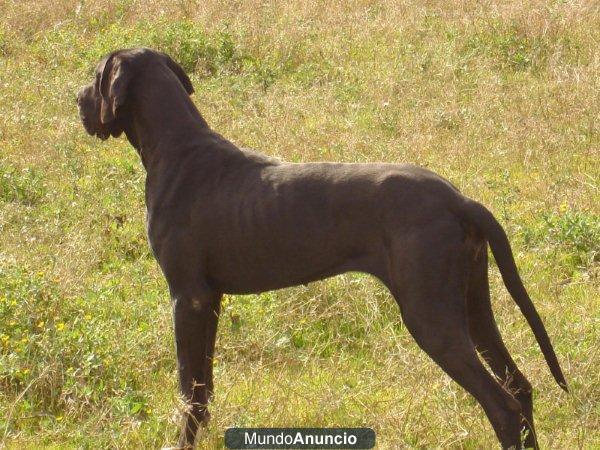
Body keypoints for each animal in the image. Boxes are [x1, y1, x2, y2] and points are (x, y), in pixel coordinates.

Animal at [76, 47, 568, 448]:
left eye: (96, 75)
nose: (76, 100)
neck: (177, 148)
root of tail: (460, 200)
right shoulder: (210, 299)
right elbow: (204, 388)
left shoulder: (189, 297)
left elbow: (189, 393)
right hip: (472, 303)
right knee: (521, 388)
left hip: (430, 315)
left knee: (502, 406)